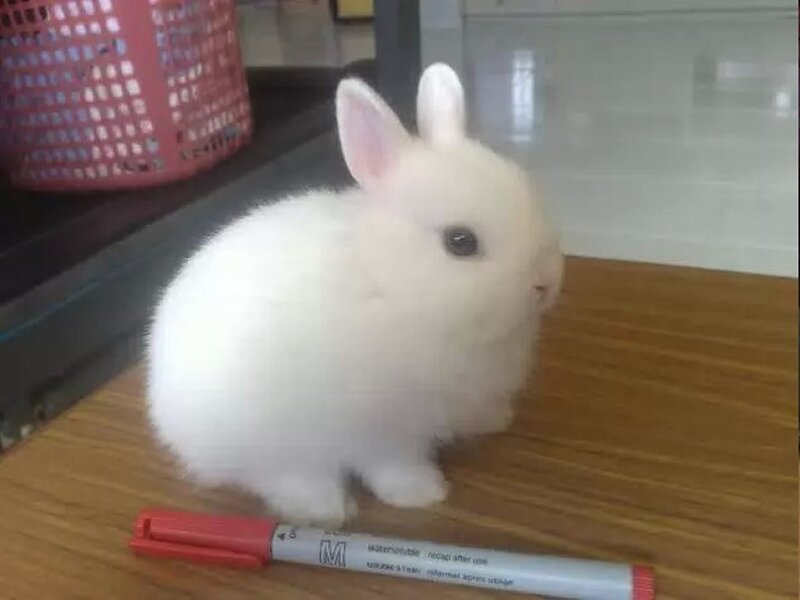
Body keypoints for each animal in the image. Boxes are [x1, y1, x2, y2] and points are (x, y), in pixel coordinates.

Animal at [147, 63, 563, 526]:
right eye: (460, 242)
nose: (545, 283)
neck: (392, 290)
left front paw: (498, 419)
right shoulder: (380, 430)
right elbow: (391, 465)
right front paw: (424, 493)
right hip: (271, 443)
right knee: (276, 477)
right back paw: (327, 509)